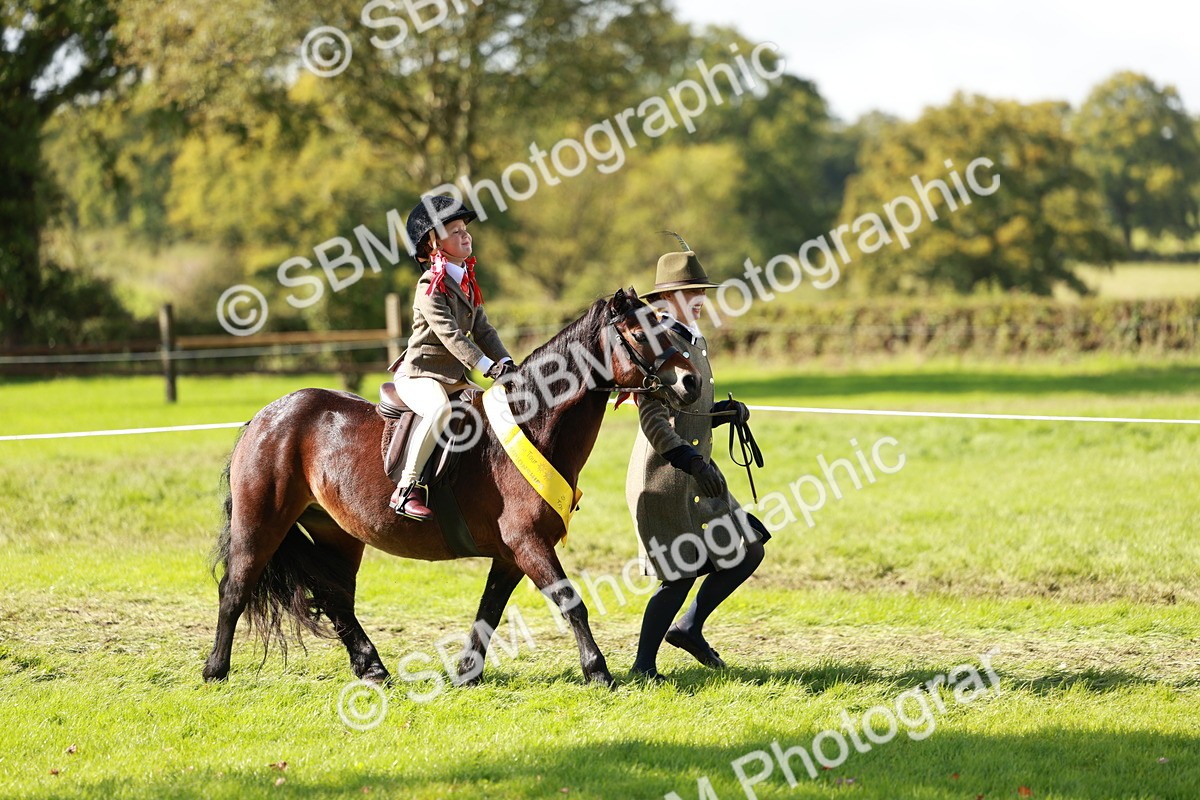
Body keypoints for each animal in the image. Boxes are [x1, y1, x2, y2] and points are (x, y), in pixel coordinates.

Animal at [202, 288, 702, 688]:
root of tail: (265, 416)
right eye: (638, 333)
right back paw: (215, 670)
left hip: (337, 533)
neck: (532, 423)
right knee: (236, 586)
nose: (690, 381)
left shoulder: (511, 554)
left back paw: (372, 668)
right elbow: (571, 602)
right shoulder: (529, 543)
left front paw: (466, 674)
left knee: (335, 598)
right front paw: (597, 671)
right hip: (261, 522)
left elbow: (488, 613)